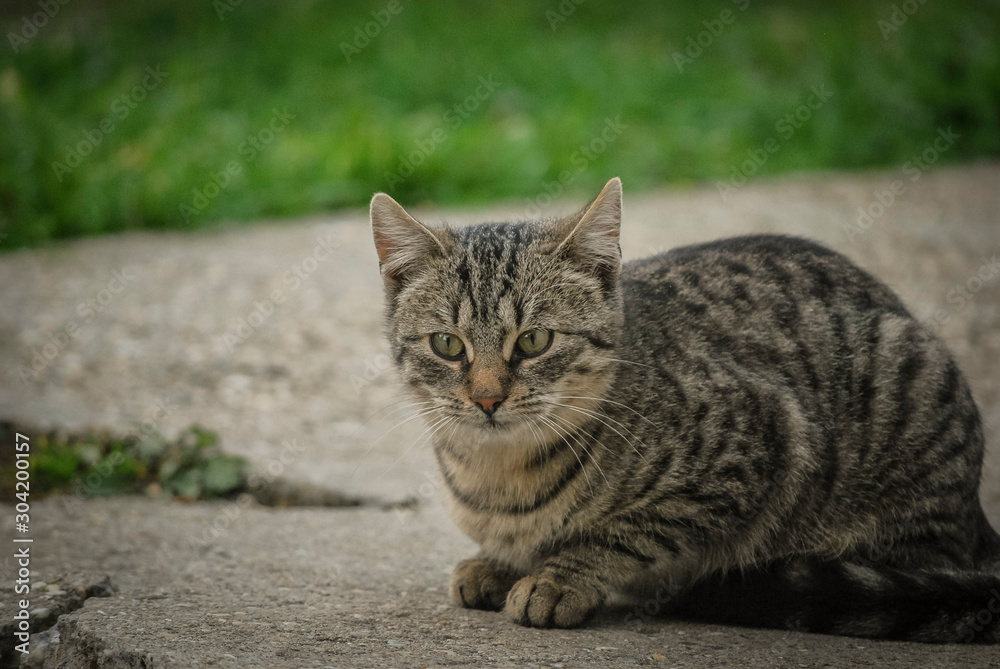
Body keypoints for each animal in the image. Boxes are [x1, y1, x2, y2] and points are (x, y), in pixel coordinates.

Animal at [370, 176, 1000, 640]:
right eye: (447, 345)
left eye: (534, 341)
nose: (487, 397)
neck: (499, 477)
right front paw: (496, 562)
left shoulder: (750, 451)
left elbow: (627, 532)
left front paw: (560, 576)